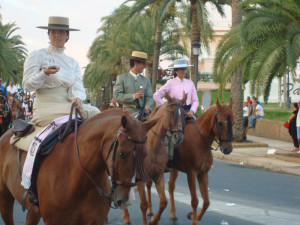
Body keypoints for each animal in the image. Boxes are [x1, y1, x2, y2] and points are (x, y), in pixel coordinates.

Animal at [123, 94, 186, 224]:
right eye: (171, 112)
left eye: (183, 113)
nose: (178, 138)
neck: (152, 146)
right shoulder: (140, 179)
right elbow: (143, 204)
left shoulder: (158, 175)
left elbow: (163, 202)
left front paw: (154, 220)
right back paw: (126, 218)